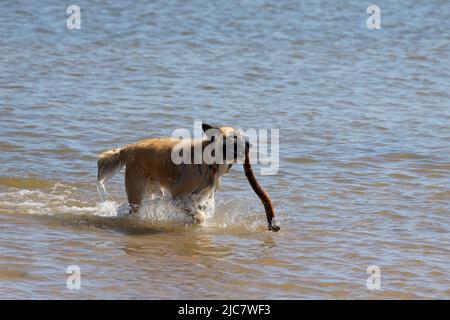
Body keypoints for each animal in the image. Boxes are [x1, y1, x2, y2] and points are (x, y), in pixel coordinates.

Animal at [96, 122, 250, 222]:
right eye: (234, 137)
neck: (209, 160)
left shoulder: (201, 195)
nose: (250, 144)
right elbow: (198, 215)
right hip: (137, 193)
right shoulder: (178, 194)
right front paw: (198, 218)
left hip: (154, 189)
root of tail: (131, 147)